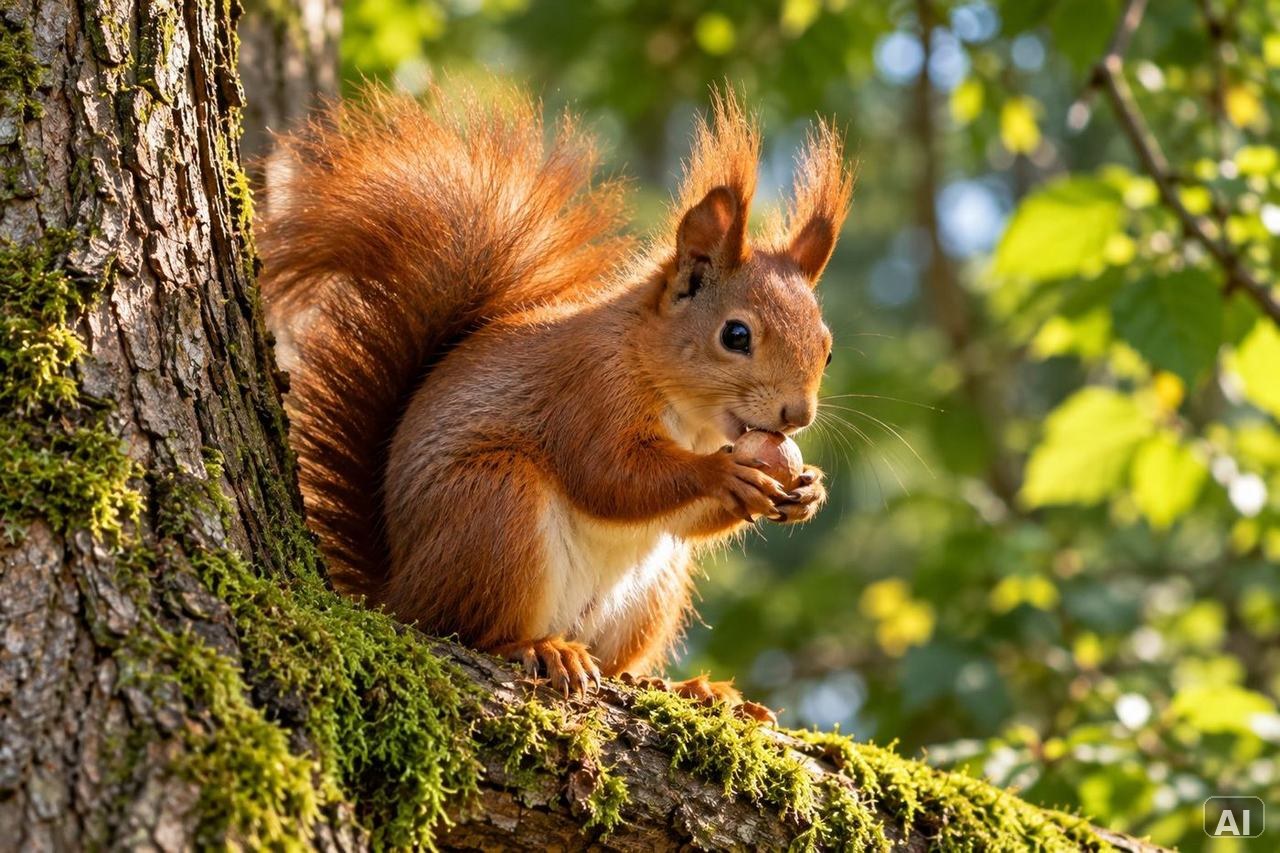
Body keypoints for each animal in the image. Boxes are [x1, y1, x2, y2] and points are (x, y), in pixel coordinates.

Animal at [259, 83, 852, 714]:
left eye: (827, 350)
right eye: (735, 335)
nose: (797, 416)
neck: (688, 415)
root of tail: (399, 590)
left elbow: (684, 517)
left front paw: (809, 488)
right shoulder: (585, 391)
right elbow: (610, 476)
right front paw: (723, 476)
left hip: (652, 588)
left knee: (619, 663)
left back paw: (685, 687)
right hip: (494, 505)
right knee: (469, 627)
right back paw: (540, 648)